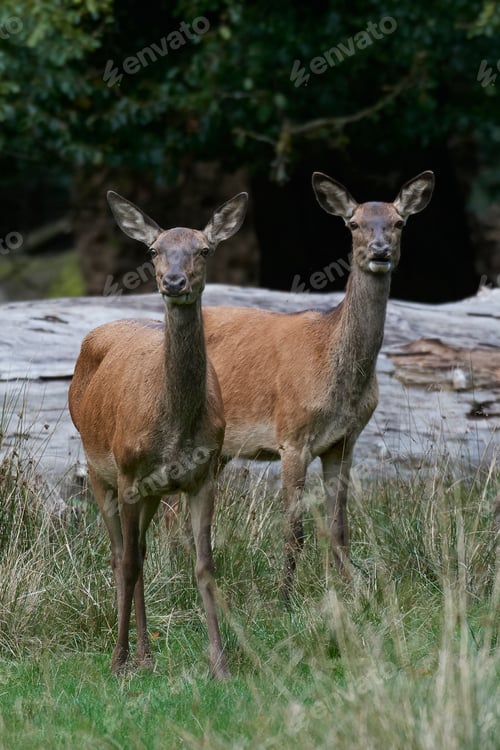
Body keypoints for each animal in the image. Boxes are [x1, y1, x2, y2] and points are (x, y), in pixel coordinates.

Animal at [68, 189, 248, 677]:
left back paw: (148, 655)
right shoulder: (128, 474)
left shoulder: (203, 476)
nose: (173, 281)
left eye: (204, 249)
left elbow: (205, 566)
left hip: (151, 491)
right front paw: (116, 660)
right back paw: (132, 655)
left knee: (143, 552)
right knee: (120, 555)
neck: (175, 429)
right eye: (153, 249)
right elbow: (127, 563)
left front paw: (220, 664)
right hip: (99, 467)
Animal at [197, 170, 434, 599]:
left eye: (399, 222)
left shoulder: (344, 442)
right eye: (353, 224)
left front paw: (351, 591)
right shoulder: (291, 436)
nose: (379, 251)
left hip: (218, 449)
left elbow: (340, 528)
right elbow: (294, 530)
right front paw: (283, 598)